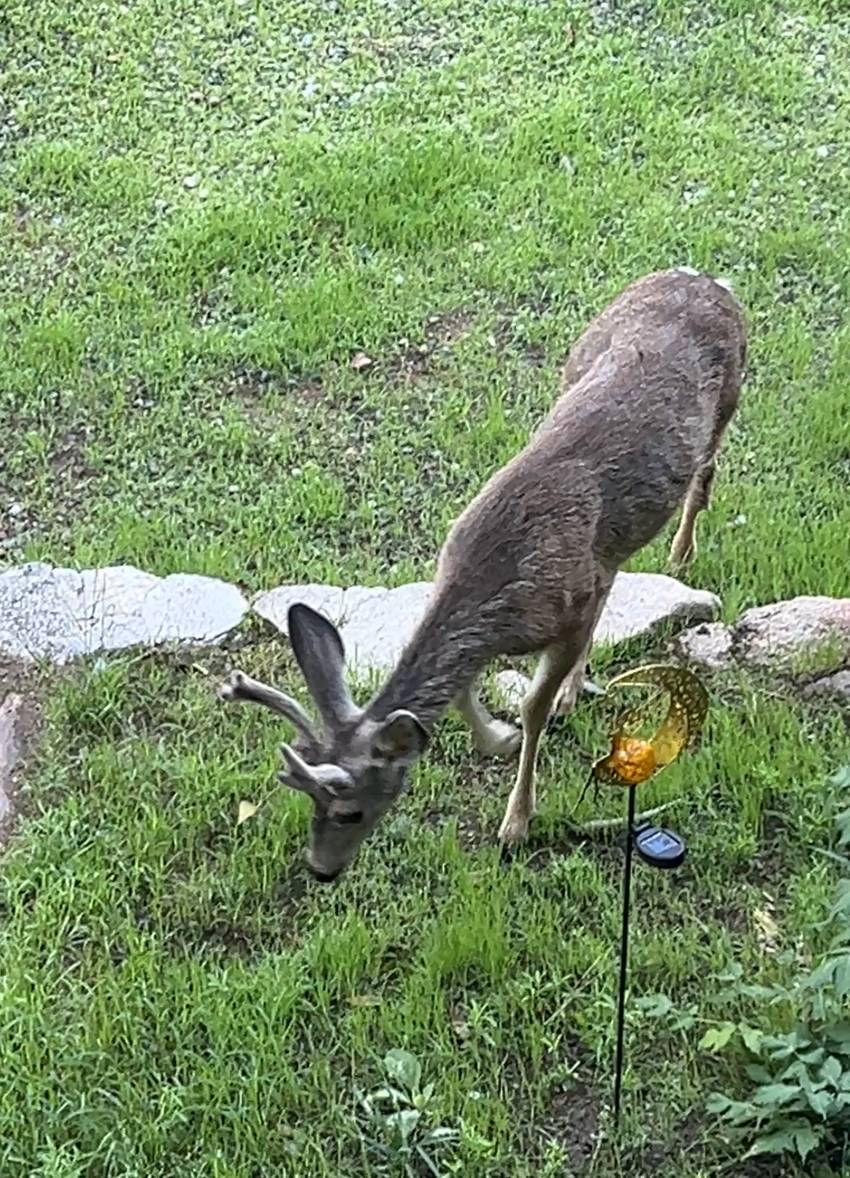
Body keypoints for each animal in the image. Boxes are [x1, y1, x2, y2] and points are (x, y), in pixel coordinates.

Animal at [220, 267, 746, 881]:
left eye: (351, 810)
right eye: (309, 802)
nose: (320, 869)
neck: (495, 584)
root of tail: (706, 278)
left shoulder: (565, 613)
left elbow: (532, 707)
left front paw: (516, 821)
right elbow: (465, 690)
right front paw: (497, 737)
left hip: (729, 400)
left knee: (704, 477)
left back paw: (681, 554)